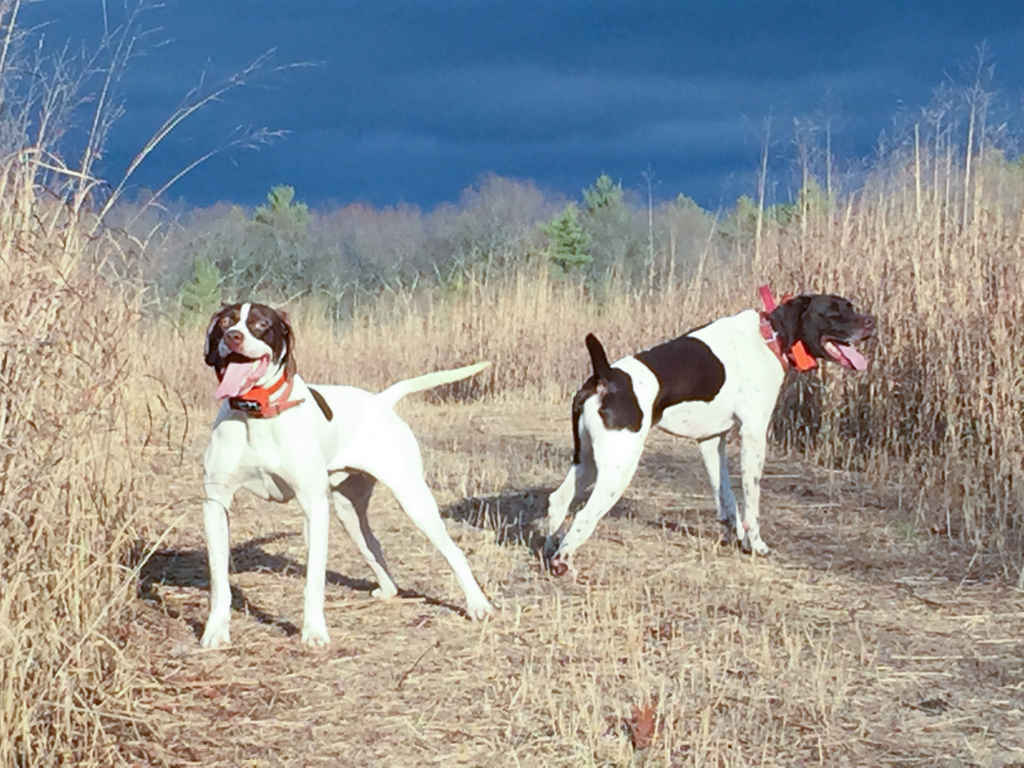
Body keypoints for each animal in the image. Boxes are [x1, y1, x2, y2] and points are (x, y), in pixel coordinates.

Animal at [200, 302, 493, 648]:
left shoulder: (314, 507)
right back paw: (389, 590)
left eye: (260, 324)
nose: (233, 337)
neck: (258, 414)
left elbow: (314, 581)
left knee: (453, 551)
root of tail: (380, 401)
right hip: (348, 509)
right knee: (373, 545)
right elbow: (220, 582)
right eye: (225, 322)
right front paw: (216, 630)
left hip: (414, 500)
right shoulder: (215, 504)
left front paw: (314, 631)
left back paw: (477, 604)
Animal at [545, 292, 874, 574]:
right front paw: (755, 544)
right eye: (832, 311)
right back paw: (563, 561)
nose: (871, 322)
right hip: (618, 468)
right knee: (584, 515)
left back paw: (548, 549)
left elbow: (725, 496)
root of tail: (606, 377)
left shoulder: (711, 440)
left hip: (587, 461)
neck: (769, 338)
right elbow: (751, 500)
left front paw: (733, 535)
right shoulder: (754, 436)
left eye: (851, 306)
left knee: (558, 501)